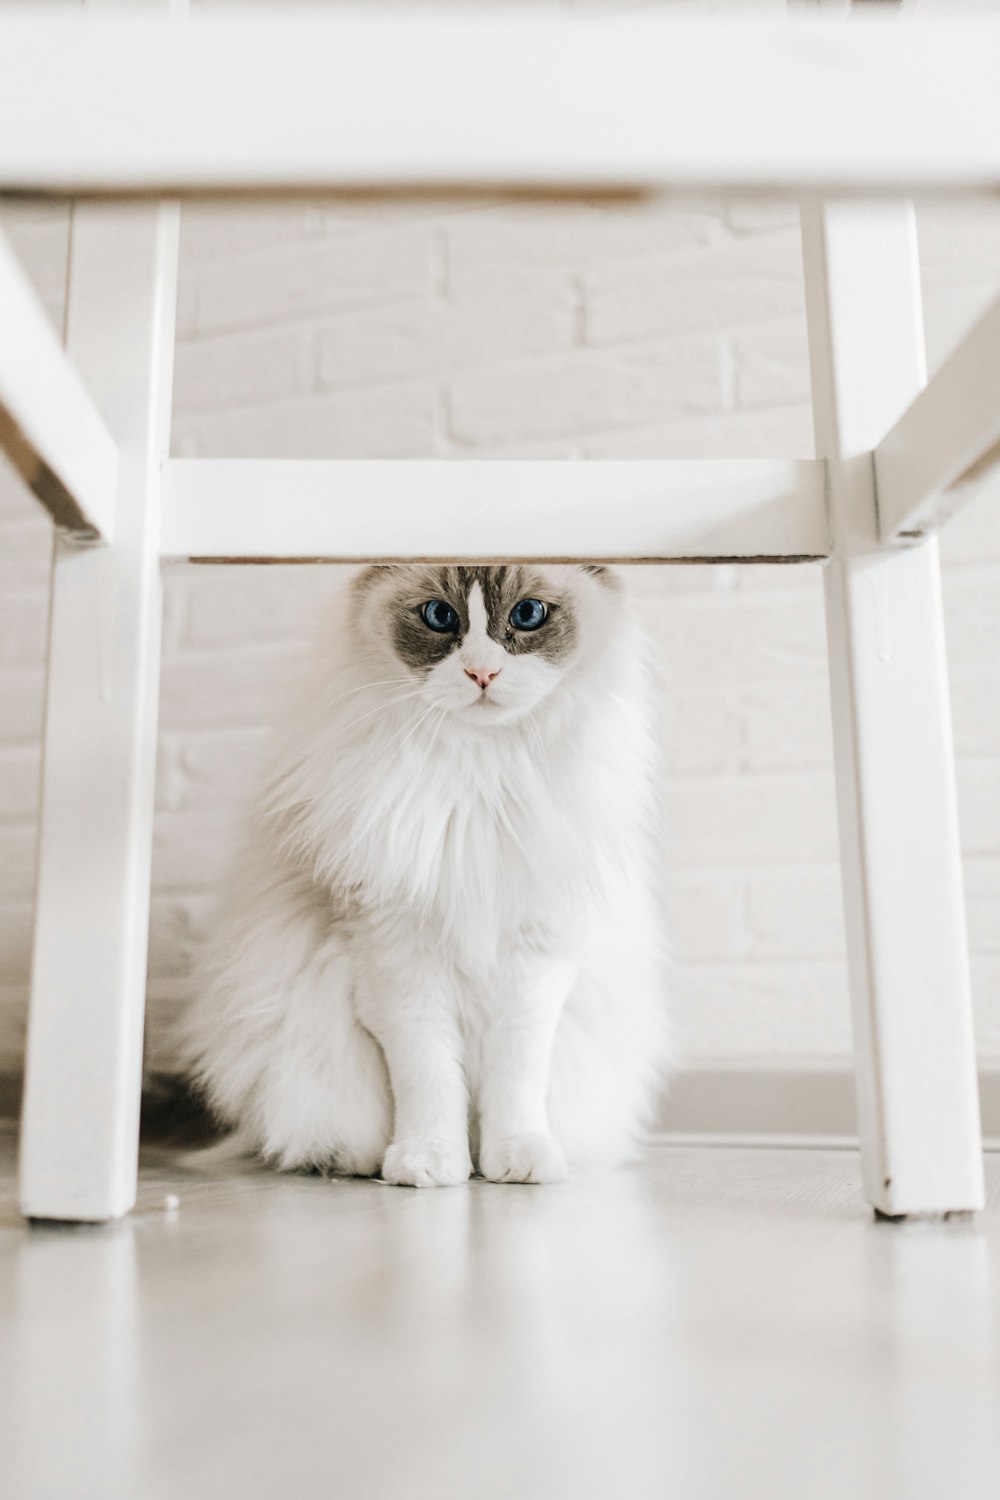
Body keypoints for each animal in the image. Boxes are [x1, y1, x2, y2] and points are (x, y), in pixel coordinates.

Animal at [183, 564, 677, 1182]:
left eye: (528, 615)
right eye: (440, 617)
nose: (482, 672)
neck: (481, 779)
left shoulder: (534, 961)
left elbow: (516, 1078)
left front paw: (516, 1159)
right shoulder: (399, 959)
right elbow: (429, 1075)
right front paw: (430, 1162)